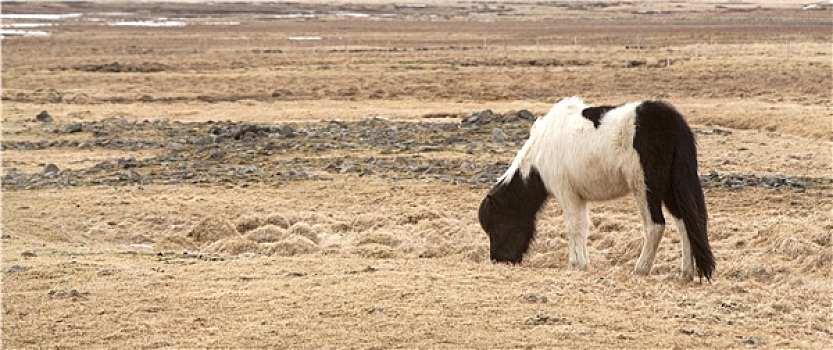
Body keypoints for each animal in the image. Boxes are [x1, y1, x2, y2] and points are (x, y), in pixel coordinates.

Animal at [480, 96, 716, 278]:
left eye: (497, 225)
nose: (499, 260)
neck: (542, 150)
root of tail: (673, 123)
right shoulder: (580, 198)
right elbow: (583, 227)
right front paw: (581, 263)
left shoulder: (567, 195)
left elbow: (573, 227)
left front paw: (576, 264)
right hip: (670, 190)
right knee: (685, 224)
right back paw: (686, 273)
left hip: (645, 189)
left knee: (655, 225)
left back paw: (641, 269)